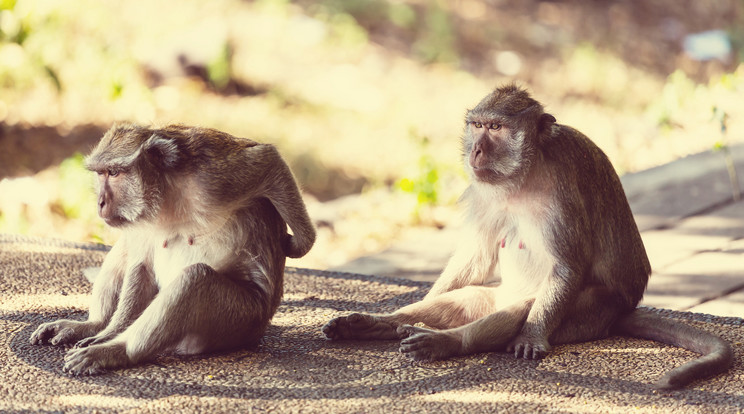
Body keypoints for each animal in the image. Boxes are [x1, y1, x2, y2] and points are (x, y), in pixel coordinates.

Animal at [27, 123, 314, 376]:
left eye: (115, 173)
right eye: (100, 174)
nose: (100, 202)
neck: (166, 195)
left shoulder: (214, 177)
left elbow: (268, 160)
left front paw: (299, 242)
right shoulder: (141, 220)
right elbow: (141, 264)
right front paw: (108, 331)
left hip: (243, 319)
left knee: (195, 279)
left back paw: (120, 351)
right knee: (127, 249)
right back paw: (93, 326)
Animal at [322, 85, 736, 390]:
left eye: (496, 129)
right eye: (477, 125)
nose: (476, 149)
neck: (525, 172)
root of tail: (623, 309)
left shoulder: (564, 188)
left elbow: (567, 266)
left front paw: (530, 336)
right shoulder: (485, 191)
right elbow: (476, 255)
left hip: (593, 312)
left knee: (523, 308)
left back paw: (447, 342)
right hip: (500, 295)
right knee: (468, 299)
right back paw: (383, 324)